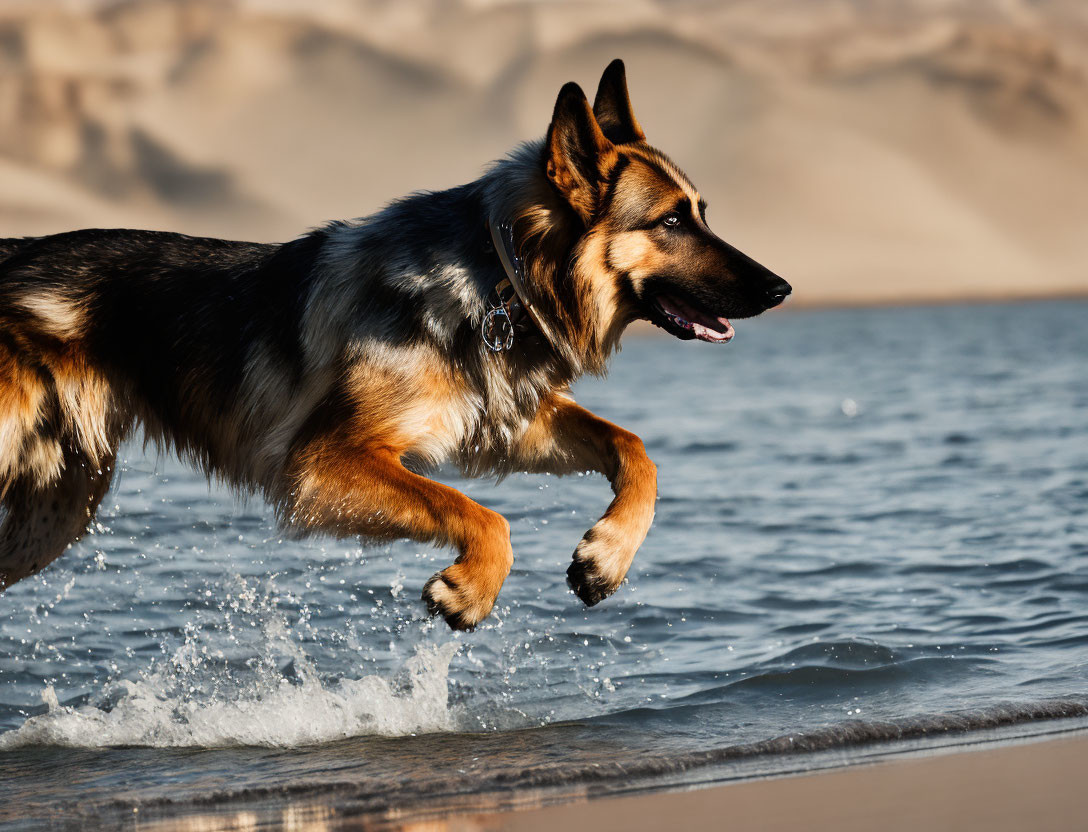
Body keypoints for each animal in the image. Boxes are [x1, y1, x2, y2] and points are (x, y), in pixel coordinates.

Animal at [0, 60, 787, 630]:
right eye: (672, 222)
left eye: (701, 213)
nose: (781, 288)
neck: (499, 276)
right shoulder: (325, 464)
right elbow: (478, 512)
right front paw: (472, 588)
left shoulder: (501, 424)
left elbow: (634, 449)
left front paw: (607, 556)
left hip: (57, 509)